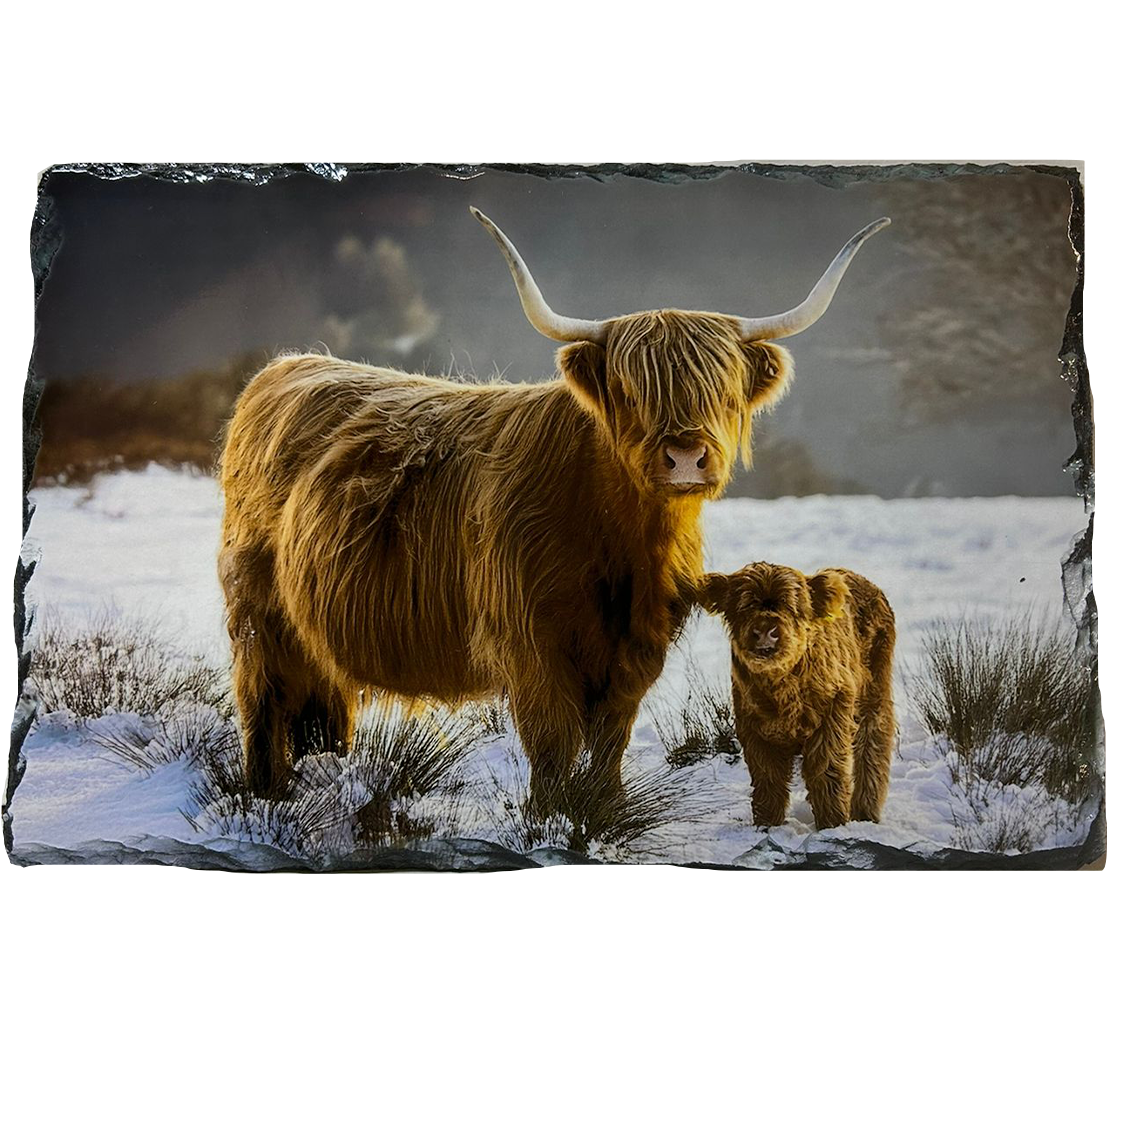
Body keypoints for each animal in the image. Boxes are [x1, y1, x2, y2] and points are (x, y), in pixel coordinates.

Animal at [218, 207, 889, 806]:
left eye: (722, 388)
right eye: (629, 390)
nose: (685, 457)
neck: (621, 541)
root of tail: (284, 367)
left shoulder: (638, 648)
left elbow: (610, 743)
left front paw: (602, 811)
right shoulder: (531, 644)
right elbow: (552, 745)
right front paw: (550, 821)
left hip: (314, 631)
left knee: (323, 709)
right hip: (256, 614)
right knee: (263, 704)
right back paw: (266, 795)